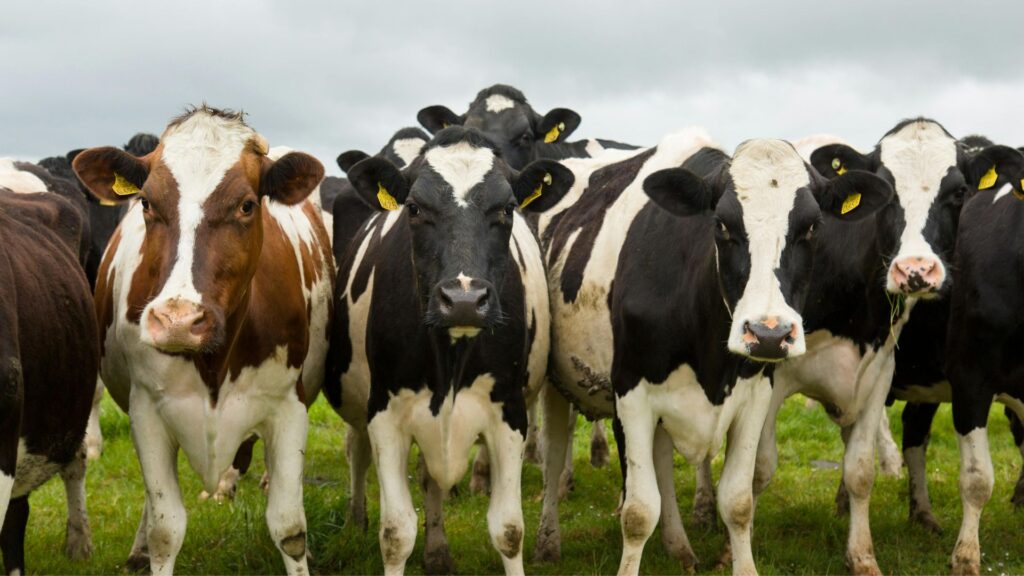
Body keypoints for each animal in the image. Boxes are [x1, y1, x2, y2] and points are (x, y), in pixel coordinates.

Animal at [72, 105, 334, 575]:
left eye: (247, 205)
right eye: (146, 202)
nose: (177, 321)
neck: (216, 362)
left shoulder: (290, 406)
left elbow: (289, 527)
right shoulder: (147, 411)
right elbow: (165, 529)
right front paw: (149, 548)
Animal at [324, 126, 573, 575]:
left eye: (507, 208)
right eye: (414, 208)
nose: (463, 299)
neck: (451, 357)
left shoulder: (509, 412)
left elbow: (509, 529)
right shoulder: (385, 412)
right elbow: (396, 533)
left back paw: (437, 551)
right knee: (358, 451)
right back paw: (356, 520)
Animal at [539, 129, 893, 574]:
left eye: (812, 228)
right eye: (722, 225)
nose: (769, 333)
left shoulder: (757, 394)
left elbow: (738, 503)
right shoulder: (631, 393)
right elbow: (639, 511)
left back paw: (679, 547)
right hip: (553, 382)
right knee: (553, 454)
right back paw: (549, 541)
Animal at [750, 119, 1013, 575]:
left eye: (959, 192)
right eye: (886, 191)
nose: (916, 271)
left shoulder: (876, 373)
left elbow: (861, 470)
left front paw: (861, 555)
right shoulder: (772, 368)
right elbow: (758, 469)